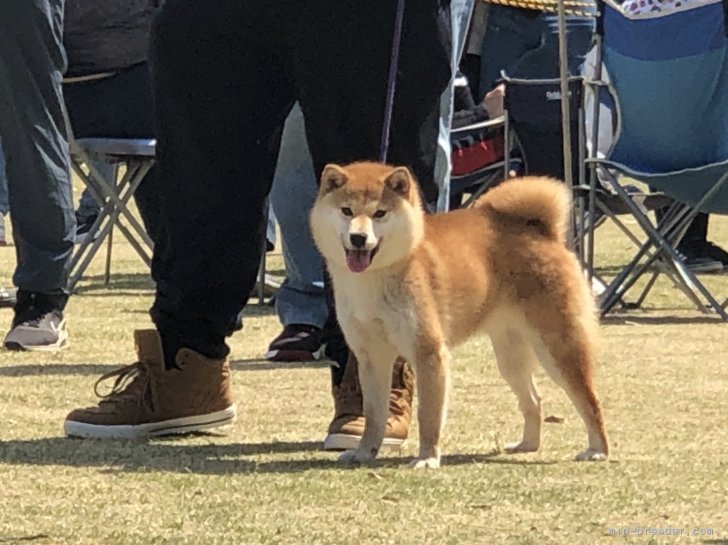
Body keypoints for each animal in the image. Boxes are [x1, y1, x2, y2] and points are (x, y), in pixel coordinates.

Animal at [308, 160, 608, 468]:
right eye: (346, 211)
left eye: (380, 213)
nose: (358, 238)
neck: (374, 279)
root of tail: (541, 231)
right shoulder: (371, 356)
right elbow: (373, 415)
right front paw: (364, 451)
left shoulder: (428, 352)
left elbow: (428, 415)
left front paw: (427, 458)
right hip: (509, 356)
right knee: (534, 400)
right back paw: (527, 444)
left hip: (558, 347)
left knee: (590, 400)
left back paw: (597, 449)